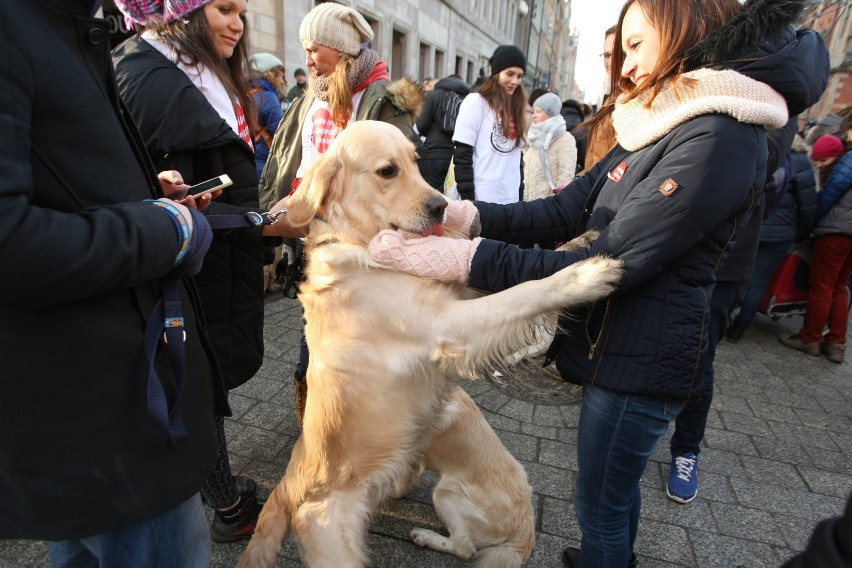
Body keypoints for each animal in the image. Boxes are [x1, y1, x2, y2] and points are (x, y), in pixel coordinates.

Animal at [236, 121, 624, 568]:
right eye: (388, 171)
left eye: (416, 162)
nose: (442, 206)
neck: (360, 243)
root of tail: (285, 486)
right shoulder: (447, 324)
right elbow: (523, 292)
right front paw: (582, 278)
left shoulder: (456, 292)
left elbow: (507, 266)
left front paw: (580, 241)